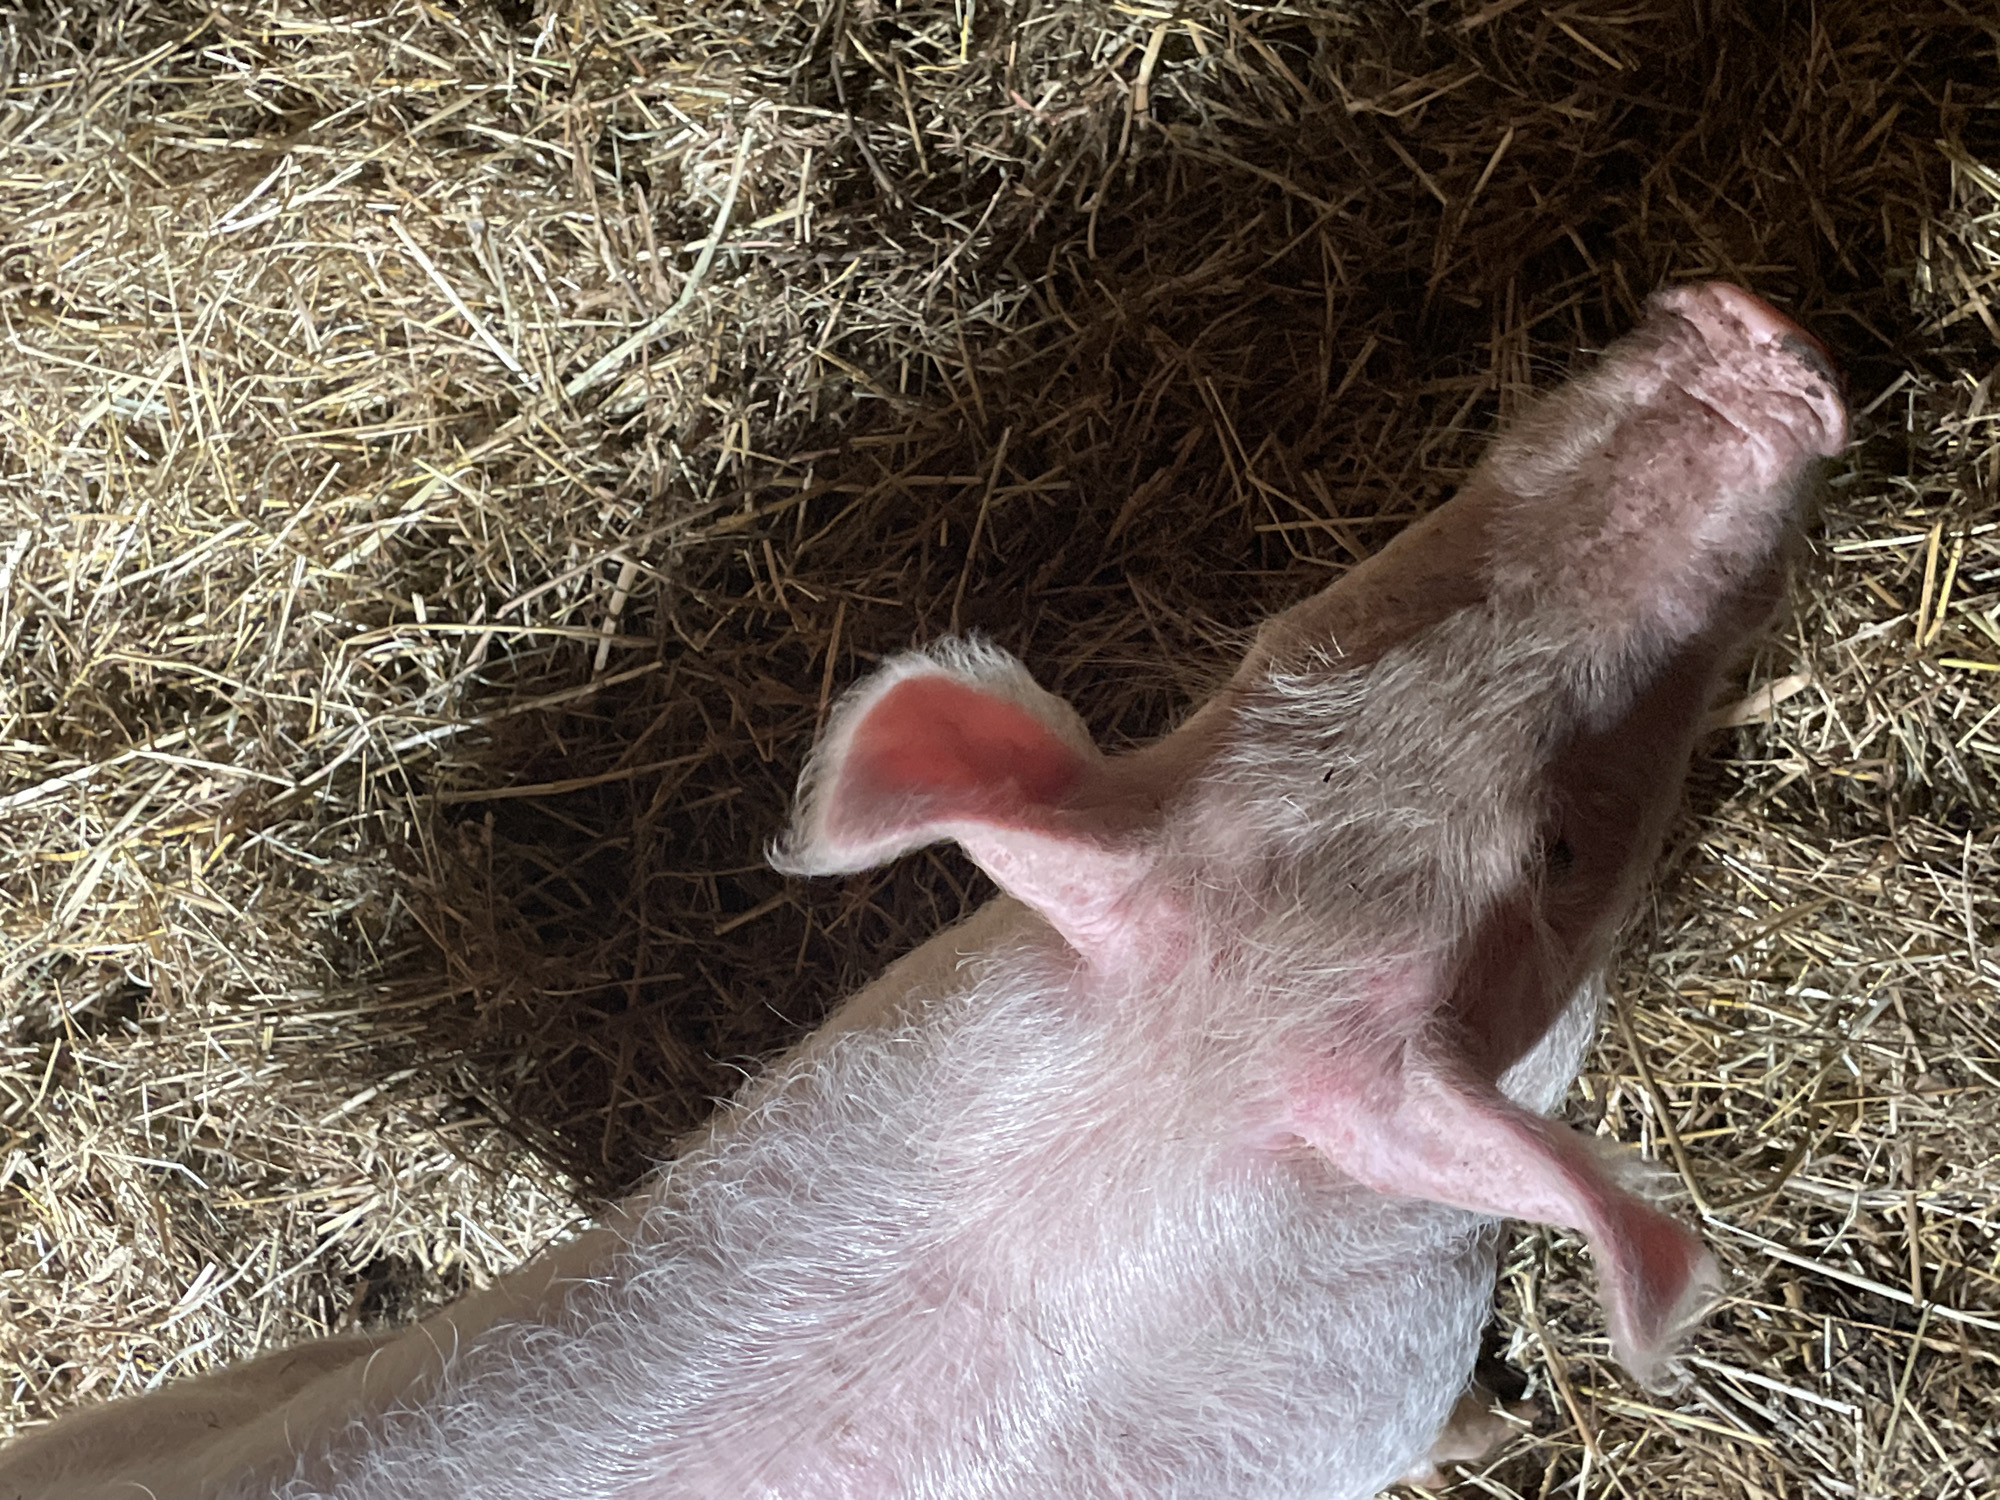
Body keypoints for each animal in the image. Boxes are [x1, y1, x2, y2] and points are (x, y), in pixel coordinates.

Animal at [0, 280, 1846, 1500]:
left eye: (1288, 638)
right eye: (1565, 853)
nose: (1758, 332)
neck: (1152, 1123)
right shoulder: (1374, 1365)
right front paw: (1497, 1425)